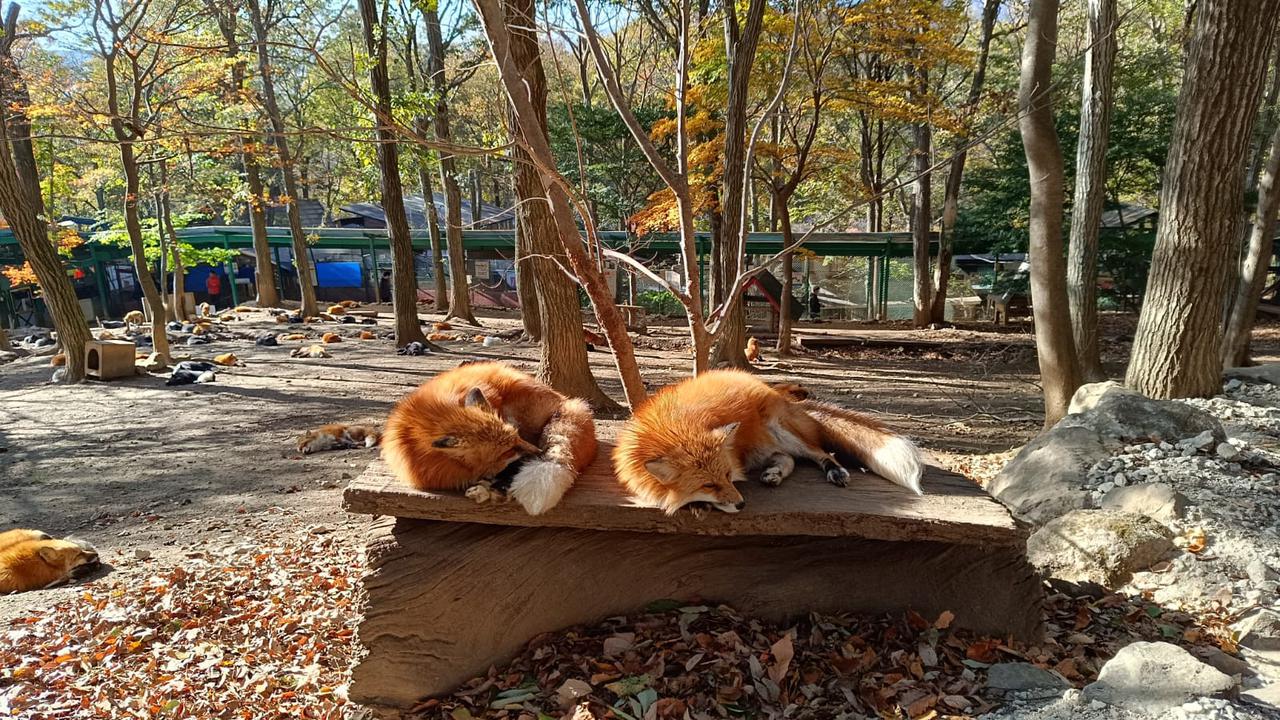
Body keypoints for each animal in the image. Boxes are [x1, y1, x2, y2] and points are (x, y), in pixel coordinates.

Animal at [612, 370, 923, 515]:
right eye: (709, 485)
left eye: (728, 476)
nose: (742, 505)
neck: (674, 426)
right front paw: (697, 505)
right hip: (764, 447)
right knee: (788, 460)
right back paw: (774, 474)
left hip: (782, 430)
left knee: (819, 452)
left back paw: (835, 471)